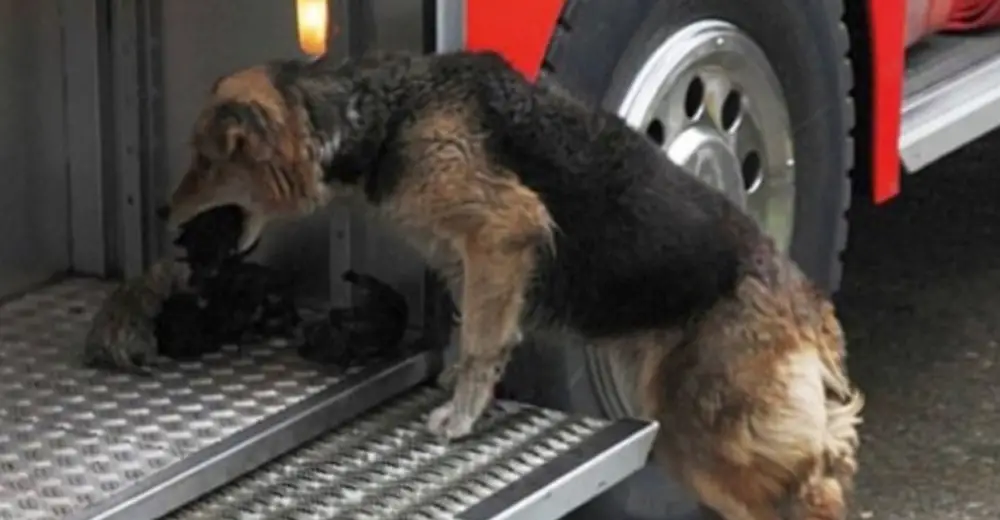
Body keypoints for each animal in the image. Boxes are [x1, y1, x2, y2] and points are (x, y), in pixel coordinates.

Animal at [160, 49, 864, 520]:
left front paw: (460, 416)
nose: (164, 216)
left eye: (206, 161)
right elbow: (475, 327)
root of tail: (809, 309)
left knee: (813, 489)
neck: (384, 112)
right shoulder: (473, 257)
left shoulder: (503, 230)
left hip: (710, 435)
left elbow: (479, 343)